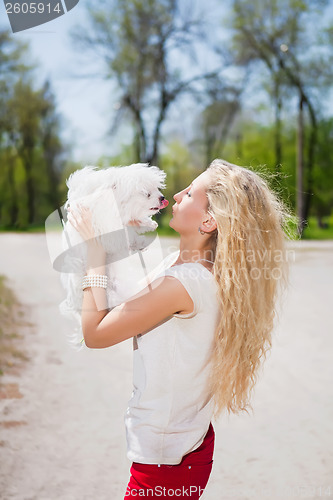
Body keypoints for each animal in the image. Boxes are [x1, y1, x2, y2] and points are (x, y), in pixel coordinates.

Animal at [57, 162, 169, 350]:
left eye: (157, 189)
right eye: (147, 193)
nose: (162, 198)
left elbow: (133, 226)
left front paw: (147, 224)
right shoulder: (107, 231)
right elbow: (124, 235)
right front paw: (140, 236)